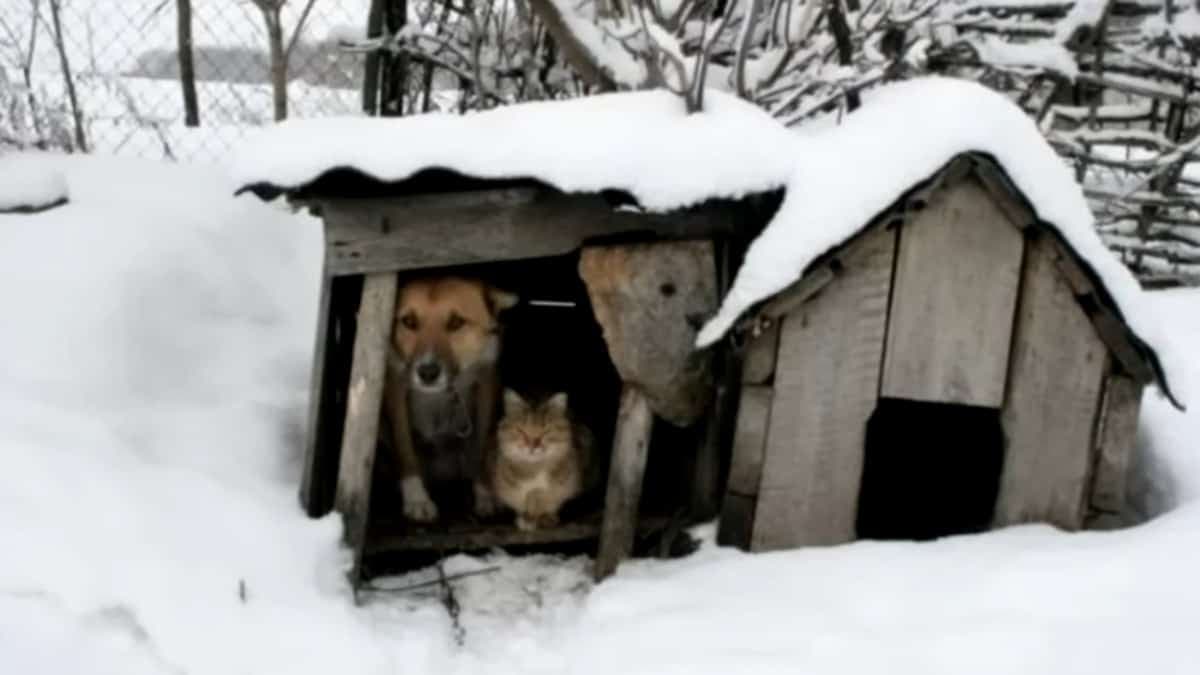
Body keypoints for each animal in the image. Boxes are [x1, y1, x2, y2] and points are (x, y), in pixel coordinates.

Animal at [384, 276, 516, 523]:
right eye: (409, 321)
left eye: (456, 322)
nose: (427, 372)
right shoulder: (395, 385)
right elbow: (404, 447)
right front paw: (416, 498)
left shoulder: (487, 383)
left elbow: (482, 444)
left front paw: (485, 494)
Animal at [489, 389, 592, 530]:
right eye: (521, 430)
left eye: (546, 431)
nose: (532, 446)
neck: (535, 467)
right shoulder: (512, 493)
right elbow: (525, 501)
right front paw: (527, 518)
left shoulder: (563, 490)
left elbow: (544, 500)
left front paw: (544, 517)